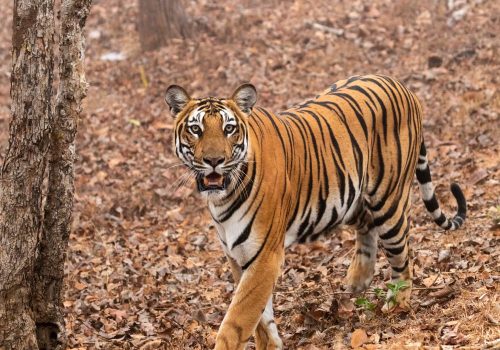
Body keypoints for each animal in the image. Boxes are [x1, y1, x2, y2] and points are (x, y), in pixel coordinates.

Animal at [163, 74, 464, 350]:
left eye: (228, 129)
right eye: (196, 129)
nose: (214, 161)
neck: (223, 198)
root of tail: (402, 85)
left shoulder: (265, 255)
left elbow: (238, 319)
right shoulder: (239, 257)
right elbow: (261, 318)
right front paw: (271, 345)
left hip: (389, 200)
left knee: (402, 256)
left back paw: (396, 304)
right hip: (350, 197)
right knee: (367, 226)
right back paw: (356, 281)